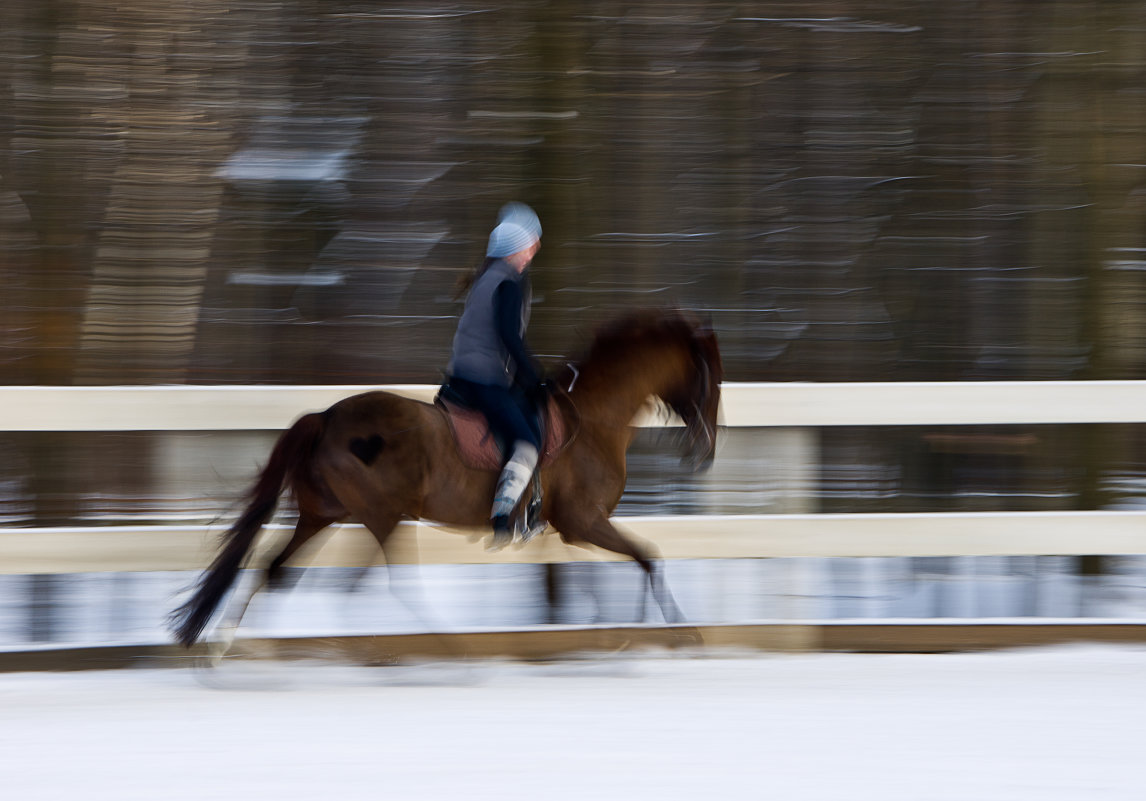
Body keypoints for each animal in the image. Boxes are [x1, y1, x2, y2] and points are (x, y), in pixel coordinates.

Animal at [167, 309, 724, 650]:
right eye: (710, 377)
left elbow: (627, 565)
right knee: (369, 586)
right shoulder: (584, 520)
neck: (594, 419)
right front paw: (673, 631)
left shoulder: (574, 529)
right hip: (382, 516)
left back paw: (232, 649)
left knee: (275, 571)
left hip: (323, 513)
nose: (706, 449)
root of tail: (324, 417)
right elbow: (648, 556)